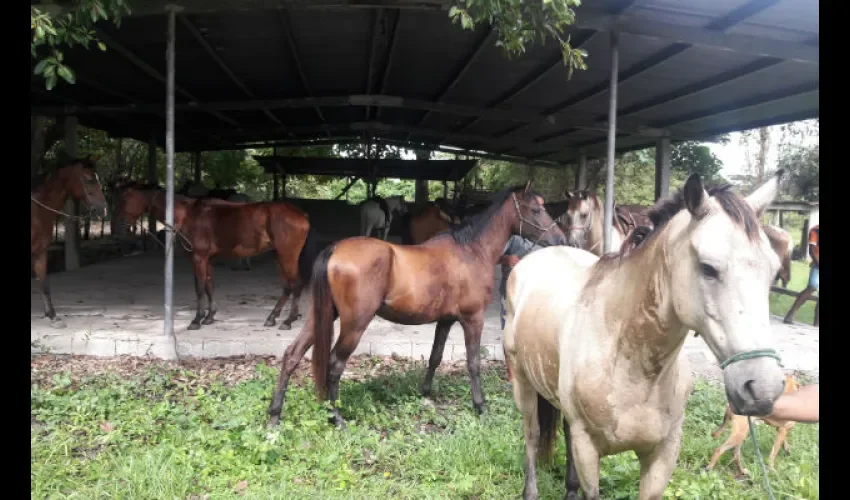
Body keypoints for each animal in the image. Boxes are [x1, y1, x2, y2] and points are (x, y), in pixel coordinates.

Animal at [112, 182, 320, 331]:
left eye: (126, 200)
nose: (120, 227)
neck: (188, 215)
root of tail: (301, 214)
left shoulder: (198, 258)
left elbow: (199, 288)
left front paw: (196, 320)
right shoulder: (207, 260)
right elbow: (209, 286)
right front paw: (209, 317)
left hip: (287, 256)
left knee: (295, 285)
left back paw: (288, 320)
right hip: (280, 256)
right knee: (287, 287)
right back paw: (272, 317)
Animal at [266, 182, 567, 428]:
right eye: (535, 210)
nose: (561, 240)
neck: (471, 251)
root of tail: (335, 249)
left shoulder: (446, 320)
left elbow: (435, 356)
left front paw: (425, 392)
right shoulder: (473, 319)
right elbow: (473, 362)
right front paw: (480, 406)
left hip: (323, 316)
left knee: (292, 355)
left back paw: (275, 416)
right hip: (354, 324)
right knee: (334, 364)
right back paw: (336, 417)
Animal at [503, 171, 787, 500]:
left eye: (773, 271)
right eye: (708, 268)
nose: (763, 388)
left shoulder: (662, 456)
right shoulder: (588, 448)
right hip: (523, 384)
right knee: (532, 434)